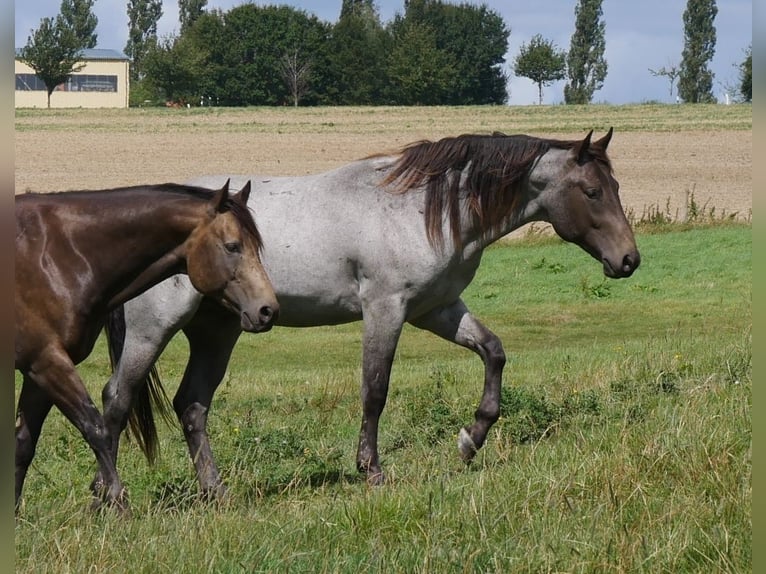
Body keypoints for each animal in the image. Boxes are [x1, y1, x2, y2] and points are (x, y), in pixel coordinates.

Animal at [14, 181, 280, 512]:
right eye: (232, 246)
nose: (267, 309)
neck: (55, 255)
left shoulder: (38, 370)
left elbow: (23, 444)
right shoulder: (46, 361)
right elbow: (96, 429)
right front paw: (116, 502)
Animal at [100, 128, 640, 498]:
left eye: (615, 186)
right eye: (592, 191)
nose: (629, 260)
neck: (421, 209)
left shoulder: (437, 309)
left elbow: (494, 352)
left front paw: (471, 439)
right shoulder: (386, 308)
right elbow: (375, 389)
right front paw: (371, 469)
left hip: (218, 331)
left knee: (192, 405)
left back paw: (214, 491)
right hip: (154, 330)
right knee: (116, 399)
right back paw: (107, 495)